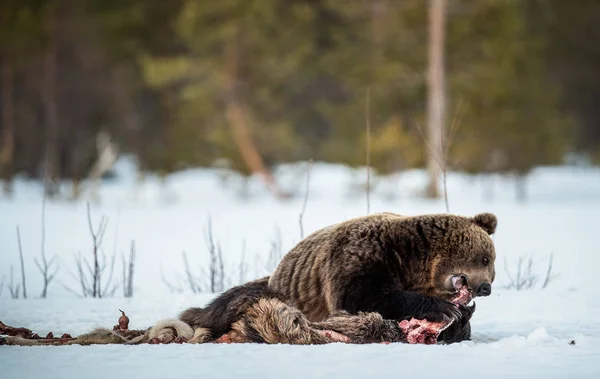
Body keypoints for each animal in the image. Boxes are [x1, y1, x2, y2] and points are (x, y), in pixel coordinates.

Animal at [182, 212, 496, 346]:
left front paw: (461, 317)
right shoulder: (360, 257)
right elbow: (364, 297)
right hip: (273, 292)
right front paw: (444, 309)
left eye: (491, 264)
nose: (486, 287)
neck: (412, 262)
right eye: (485, 258)